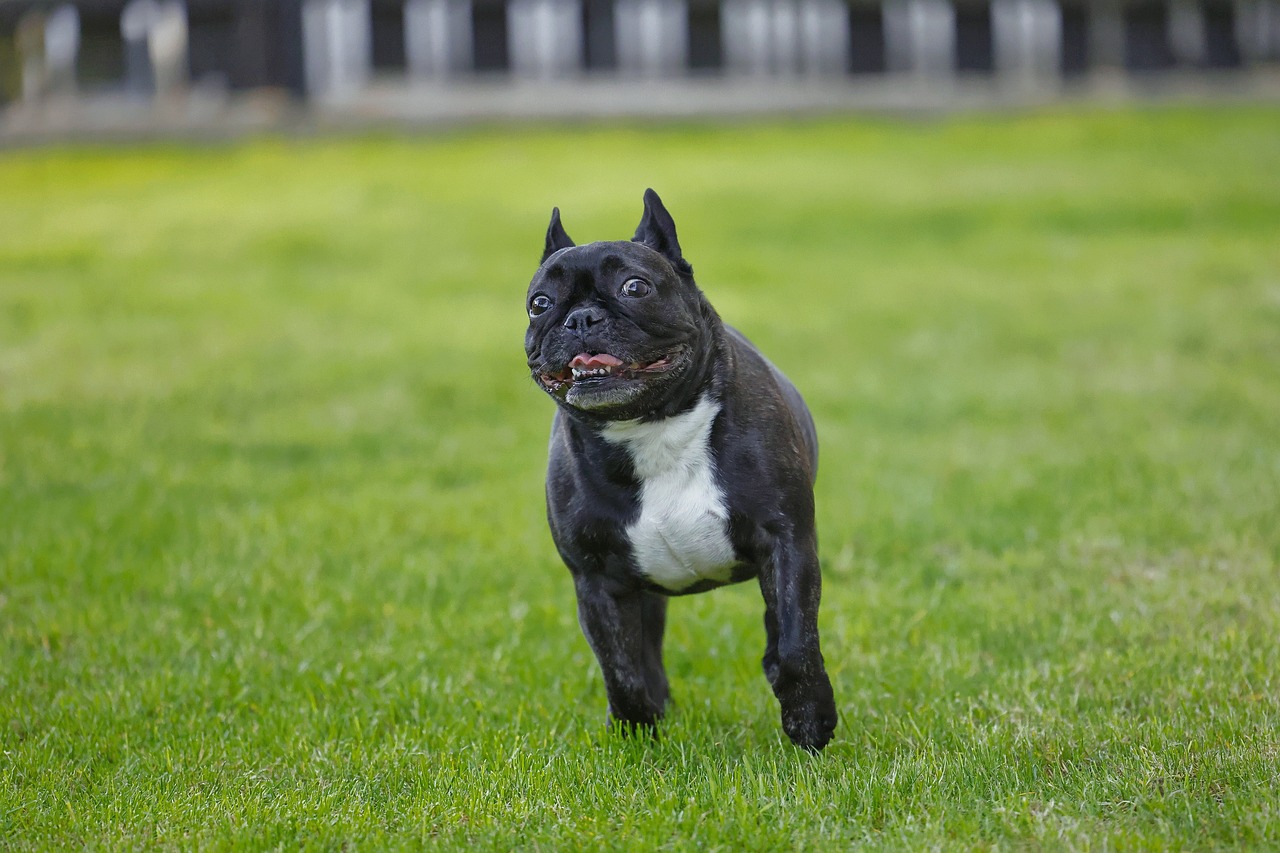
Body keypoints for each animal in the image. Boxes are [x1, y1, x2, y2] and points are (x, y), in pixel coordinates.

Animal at [522, 189, 839, 747]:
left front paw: (810, 727)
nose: (580, 318)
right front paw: (637, 737)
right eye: (539, 303)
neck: (651, 428)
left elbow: (795, 645)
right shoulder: (598, 581)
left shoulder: (787, 543)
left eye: (635, 286)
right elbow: (622, 669)